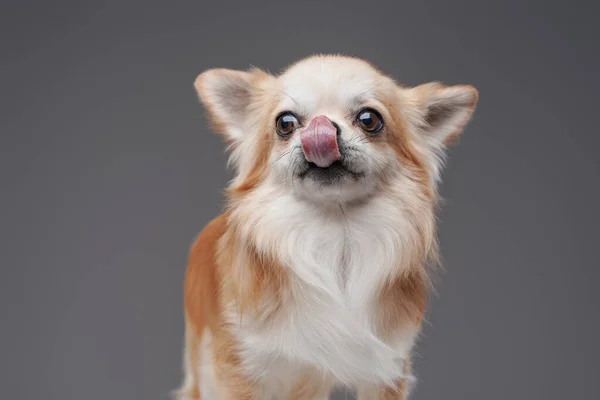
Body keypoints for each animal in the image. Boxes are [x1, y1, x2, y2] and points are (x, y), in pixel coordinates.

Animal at [175, 54, 478, 400]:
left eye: (369, 119)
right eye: (285, 123)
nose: (321, 128)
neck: (334, 233)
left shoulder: (386, 370)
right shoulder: (238, 366)